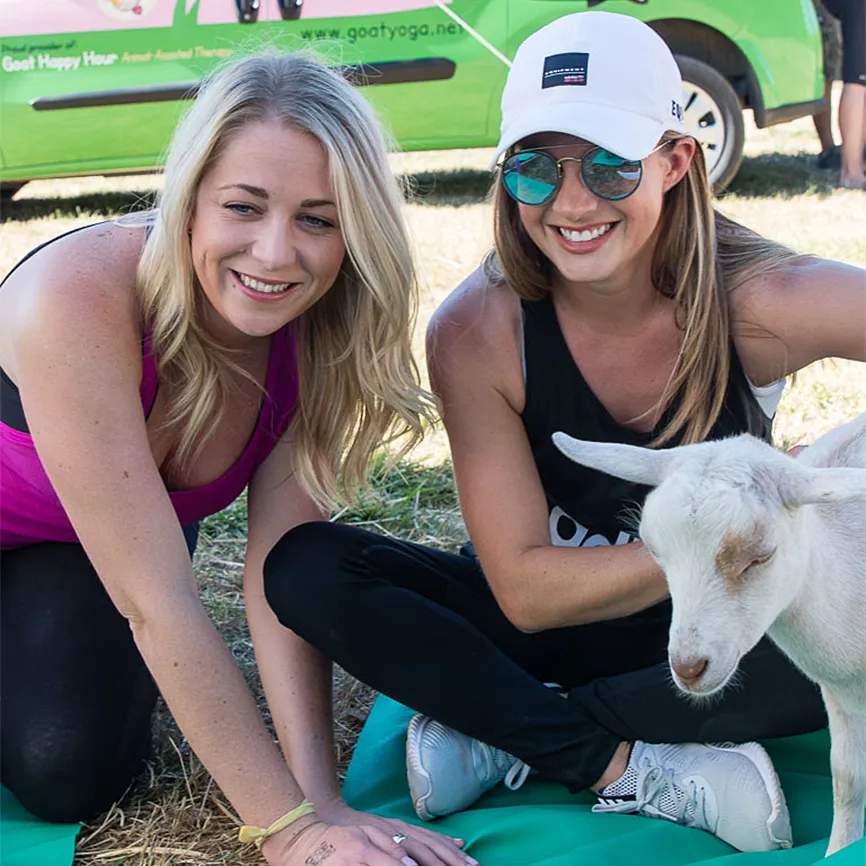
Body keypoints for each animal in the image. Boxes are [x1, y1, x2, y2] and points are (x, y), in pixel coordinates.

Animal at [552, 414, 864, 856]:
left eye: (761, 556)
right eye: (653, 549)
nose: (688, 667)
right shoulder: (839, 698)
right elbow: (846, 781)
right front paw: (839, 851)